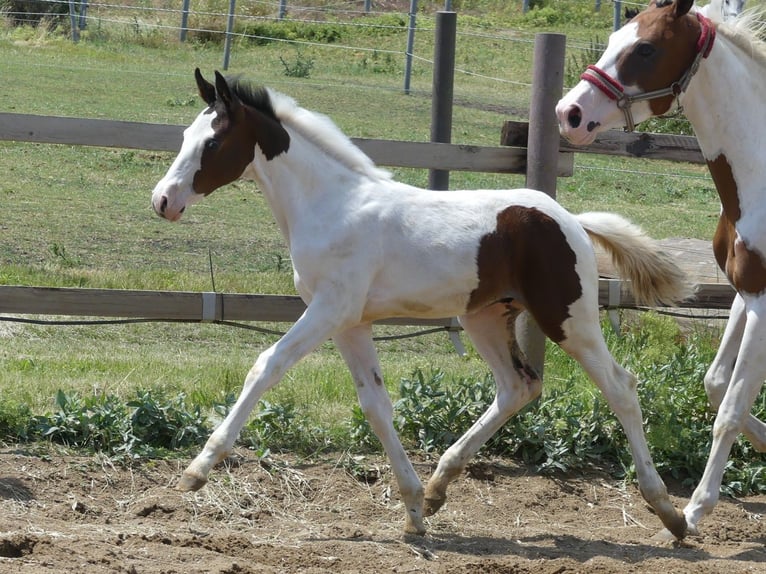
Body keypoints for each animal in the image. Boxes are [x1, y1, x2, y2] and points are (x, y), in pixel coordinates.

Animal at [151, 68, 691, 538]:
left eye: (212, 143)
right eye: (185, 135)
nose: (162, 201)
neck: (330, 205)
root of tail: (571, 219)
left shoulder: (329, 309)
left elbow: (266, 365)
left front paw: (197, 470)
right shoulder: (351, 323)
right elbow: (376, 405)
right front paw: (412, 509)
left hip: (567, 317)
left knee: (620, 387)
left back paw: (669, 512)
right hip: (484, 318)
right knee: (518, 387)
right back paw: (437, 487)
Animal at [556, 0, 766, 540]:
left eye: (646, 48)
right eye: (613, 39)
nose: (568, 114)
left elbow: (731, 407)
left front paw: (694, 509)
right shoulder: (745, 293)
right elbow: (717, 384)